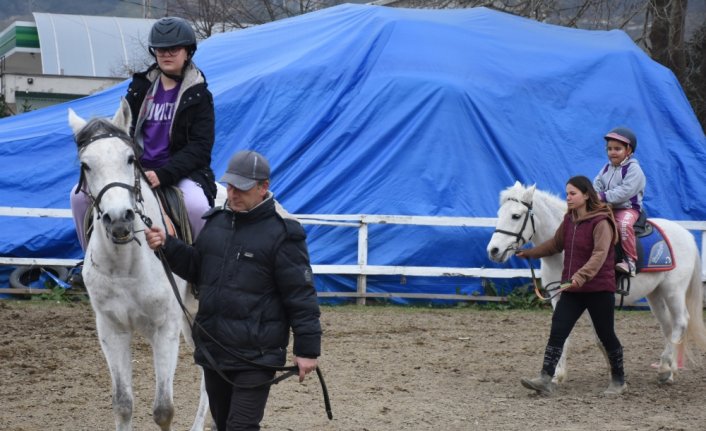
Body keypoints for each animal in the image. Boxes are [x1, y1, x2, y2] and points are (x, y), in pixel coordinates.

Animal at [68, 99, 212, 430]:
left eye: (130, 158)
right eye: (85, 165)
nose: (119, 220)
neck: (126, 265)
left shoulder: (165, 328)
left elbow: (163, 409)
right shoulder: (112, 329)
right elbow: (122, 404)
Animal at [484, 182, 704, 384]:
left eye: (516, 216)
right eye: (499, 213)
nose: (493, 250)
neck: (567, 249)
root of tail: (686, 234)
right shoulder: (561, 298)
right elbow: (568, 333)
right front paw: (558, 375)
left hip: (673, 291)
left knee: (681, 322)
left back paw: (666, 370)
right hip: (656, 294)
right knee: (668, 326)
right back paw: (669, 368)